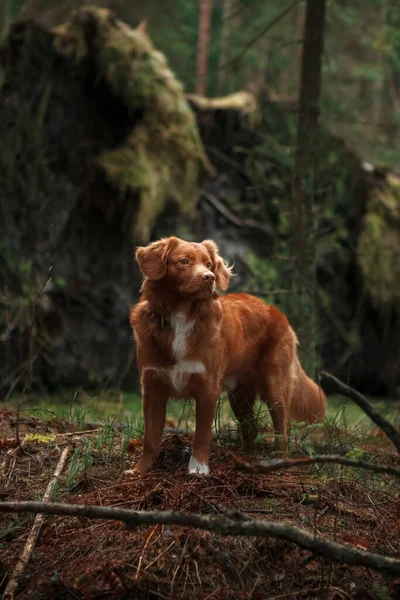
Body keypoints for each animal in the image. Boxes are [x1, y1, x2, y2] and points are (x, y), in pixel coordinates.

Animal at [130, 237, 326, 476]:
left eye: (208, 264)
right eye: (184, 261)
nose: (209, 277)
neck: (180, 319)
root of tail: (276, 312)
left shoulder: (207, 389)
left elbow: (201, 435)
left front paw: (198, 469)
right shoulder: (152, 389)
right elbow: (149, 439)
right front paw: (140, 470)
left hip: (275, 388)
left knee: (283, 429)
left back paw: (280, 461)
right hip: (239, 397)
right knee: (251, 428)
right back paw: (245, 457)